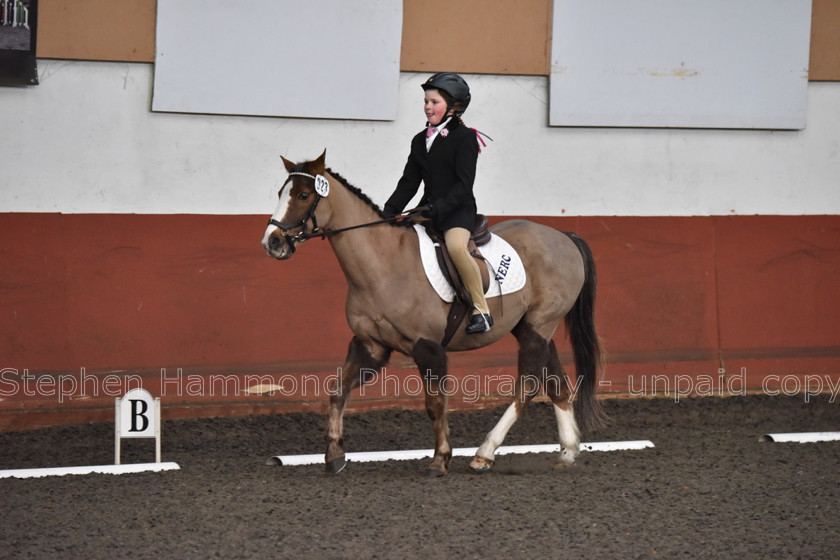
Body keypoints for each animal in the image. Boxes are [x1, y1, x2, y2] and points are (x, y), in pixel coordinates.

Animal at [260, 151, 608, 474]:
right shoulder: (370, 346)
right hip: (531, 327)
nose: (272, 242)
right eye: (280, 192)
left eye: (304, 195)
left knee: (529, 385)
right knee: (555, 381)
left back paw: (484, 453)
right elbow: (336, 391)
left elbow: (434, 404)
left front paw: (441, 459)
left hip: (539, 325)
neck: (382, 266)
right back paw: (567, 451)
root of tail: (564, 236)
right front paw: (334, 456)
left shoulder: (428, 348)